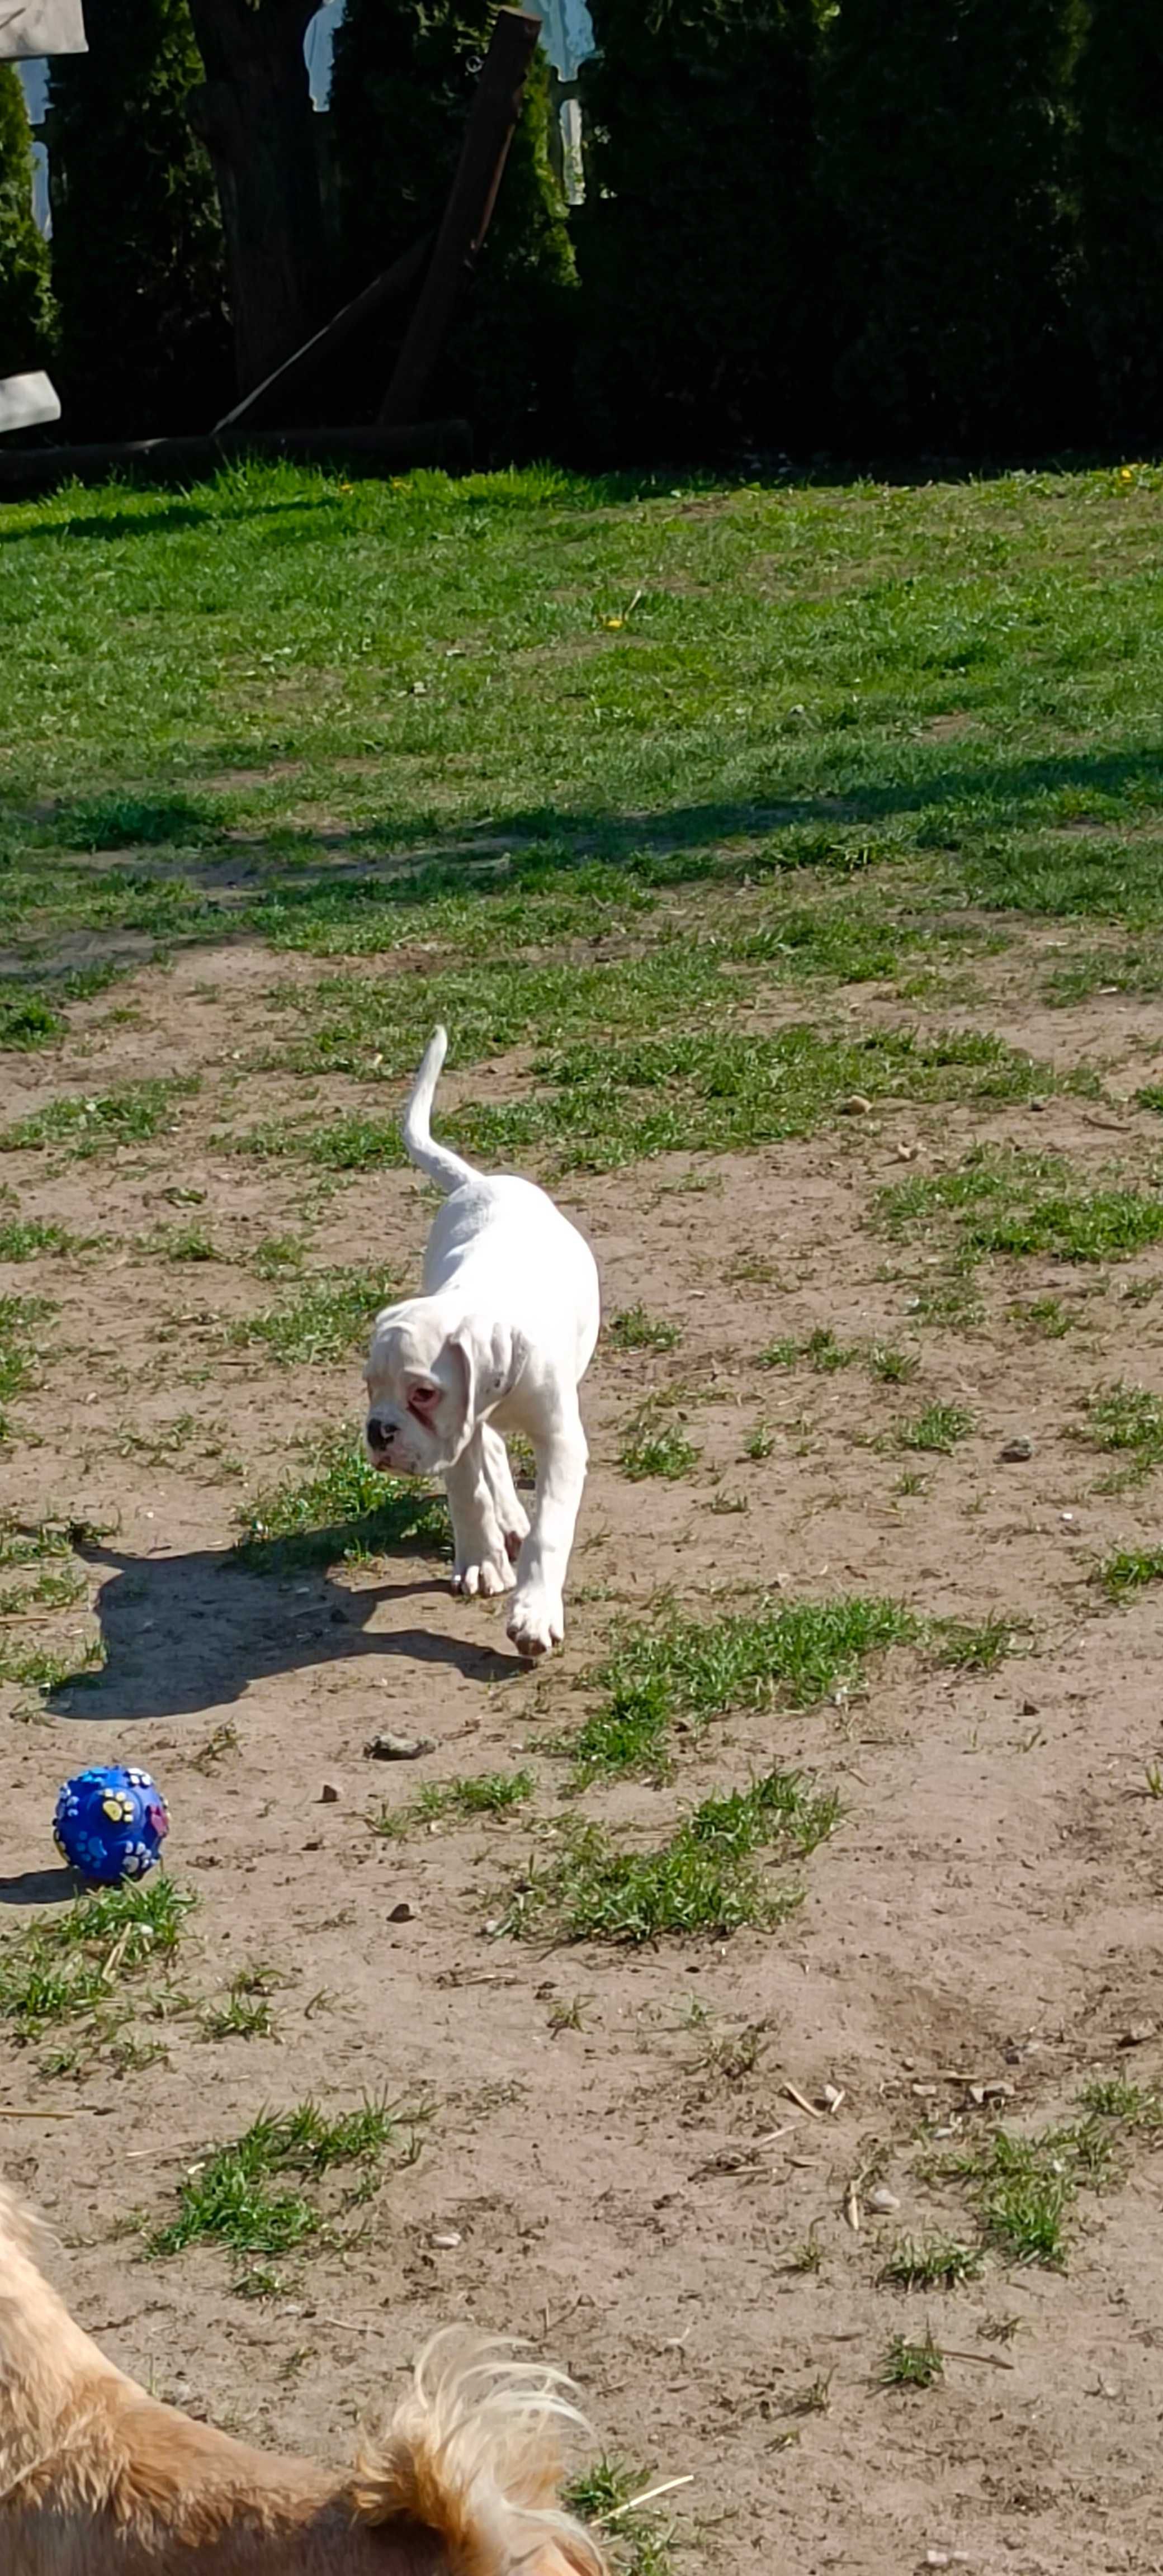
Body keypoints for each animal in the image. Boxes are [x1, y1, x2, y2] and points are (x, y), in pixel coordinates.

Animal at [363, 1030, 601, 1659]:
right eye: (369, 1389)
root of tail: (478, 1183)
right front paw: (481, 1563)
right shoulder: (457, 1430)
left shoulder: (560, 1441)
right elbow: (467, 1492)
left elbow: (551, 1530)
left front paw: (535, 1612)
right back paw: (505, 1525)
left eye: (423, 1393)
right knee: (489, 1452)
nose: (378, 1432)